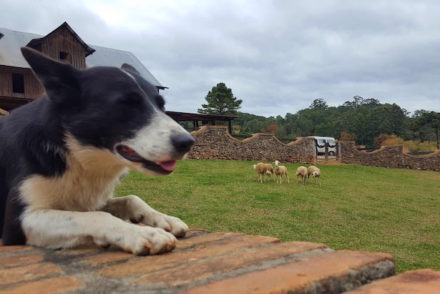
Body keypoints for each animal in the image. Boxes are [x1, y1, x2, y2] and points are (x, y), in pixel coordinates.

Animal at [0, 48, 194, 255]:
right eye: (126, 104)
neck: (73, 152)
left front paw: (163, 218)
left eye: (161, 105)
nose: (187, 142)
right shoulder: (17, 222)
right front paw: (142, 233)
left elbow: (131, 199)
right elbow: (96, 215)